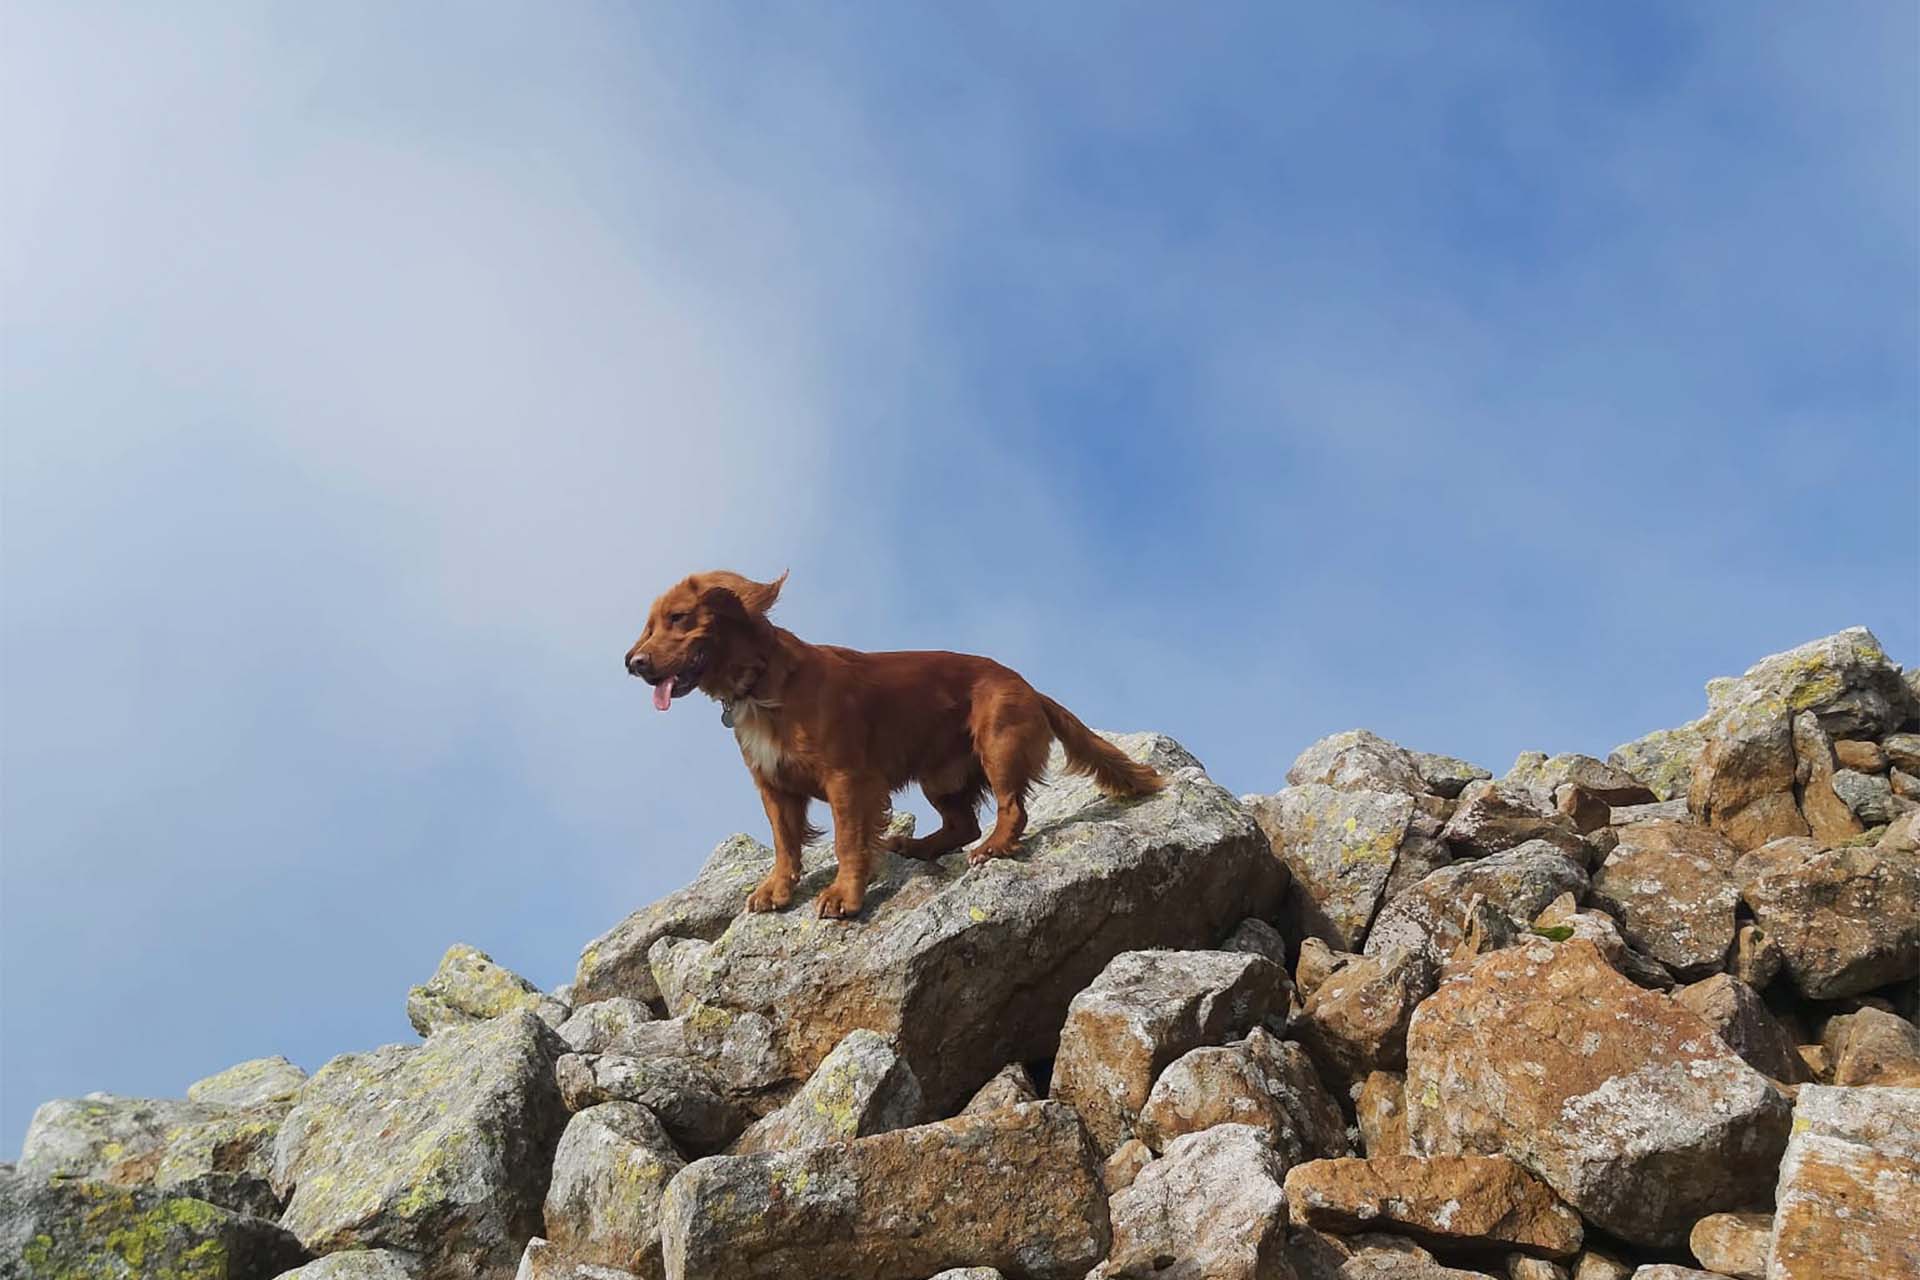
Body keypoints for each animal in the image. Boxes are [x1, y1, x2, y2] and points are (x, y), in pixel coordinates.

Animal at [633, 571, 1167, 921]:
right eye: (651, 625)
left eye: (679, 618)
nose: (632, 663)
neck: (763, 681)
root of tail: (1029, 686)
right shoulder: (774, 785)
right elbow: (786, 843)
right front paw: (776, 889)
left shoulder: (848, 779)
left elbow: (848, 842)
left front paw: (843, 897)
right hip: (940, 774)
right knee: (962, 823)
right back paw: (915, 844)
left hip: (997, 742)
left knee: (1009, 810)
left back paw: (992, 848)